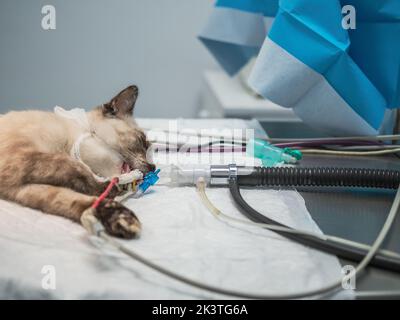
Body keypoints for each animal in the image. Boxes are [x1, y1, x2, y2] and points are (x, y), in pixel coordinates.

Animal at [0, 86, 155, 239]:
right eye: (142, 141)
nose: (153, 168)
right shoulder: (20, 159)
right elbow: (78, 170)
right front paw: (111, 189)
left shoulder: (20, 188)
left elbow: (75, 200)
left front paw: (119, 218)